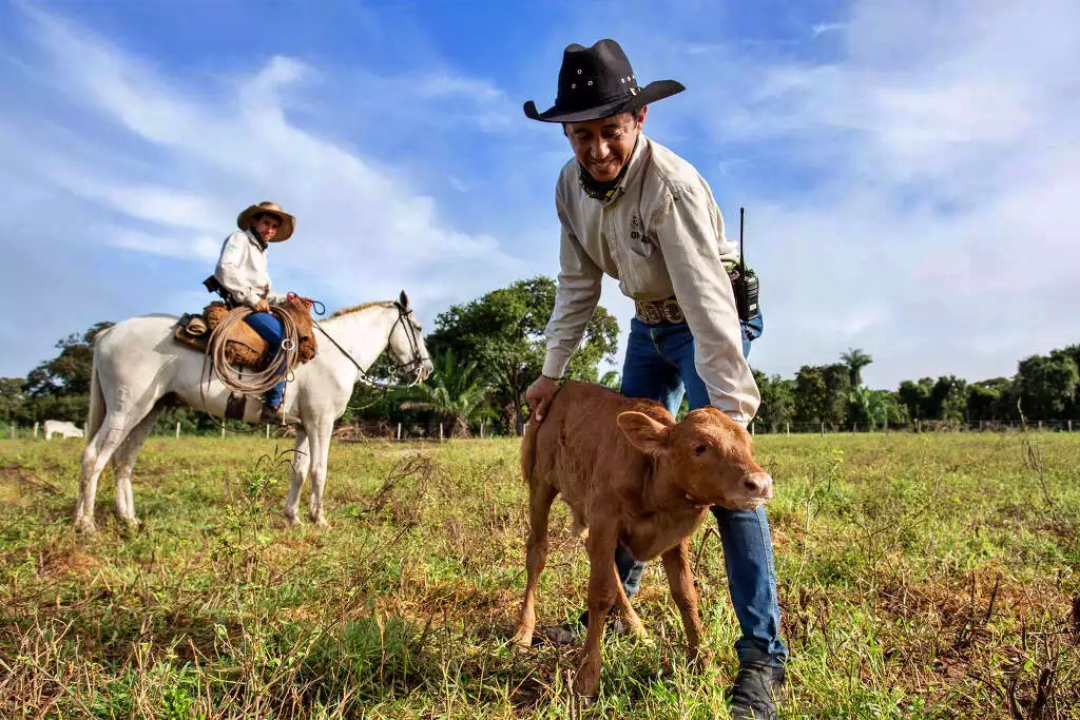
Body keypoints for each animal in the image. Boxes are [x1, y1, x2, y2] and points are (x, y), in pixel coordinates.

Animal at [72, 289, 434, 533]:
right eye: (416, 328)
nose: (427, 369)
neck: (334, 355)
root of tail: (107, 333)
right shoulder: (321, 422)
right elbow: (319, 470)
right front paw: (320, 519)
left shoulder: (304, 425)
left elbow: (299, 470)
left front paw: (294, 518)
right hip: (126, 409)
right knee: (94, 456)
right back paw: (86, 524)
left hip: (150, 410)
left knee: (123, 461)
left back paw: (129, 519)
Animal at [511, 379, 773, 699]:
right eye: (700, 447)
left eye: (748, 445)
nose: (760, 483)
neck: (653, 480)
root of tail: (563, 388)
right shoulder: (604, 519)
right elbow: (600, 594)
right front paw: (587, 675)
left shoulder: (673, 538)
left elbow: (685, 594)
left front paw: (702, 662)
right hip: (541, 484)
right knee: (537, 553)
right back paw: (523, 632)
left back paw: (638, 629)